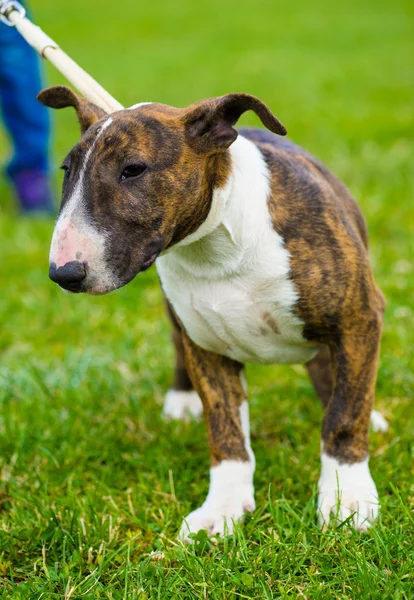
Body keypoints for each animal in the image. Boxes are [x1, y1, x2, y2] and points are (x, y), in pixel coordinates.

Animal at [38, 84, 388, 540]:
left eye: (132, 170)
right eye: (67, 171)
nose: (64, 273)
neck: (219, 247)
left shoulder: (358, 318)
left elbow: (345, 415)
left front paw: (348, 499)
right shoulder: (207, 349)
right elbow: (225, 431)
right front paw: (222, 509)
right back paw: (182, 401)